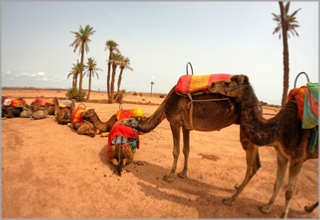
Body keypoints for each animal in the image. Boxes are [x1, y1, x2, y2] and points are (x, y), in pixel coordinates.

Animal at [210, 74, 318, 218]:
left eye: (227, 82)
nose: (211, 85)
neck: (280, 131)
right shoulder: (282, 155)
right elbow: (278, 183)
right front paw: (267, 208)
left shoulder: (298, 159)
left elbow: (290, 191)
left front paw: (283, 215)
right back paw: (309, 208)